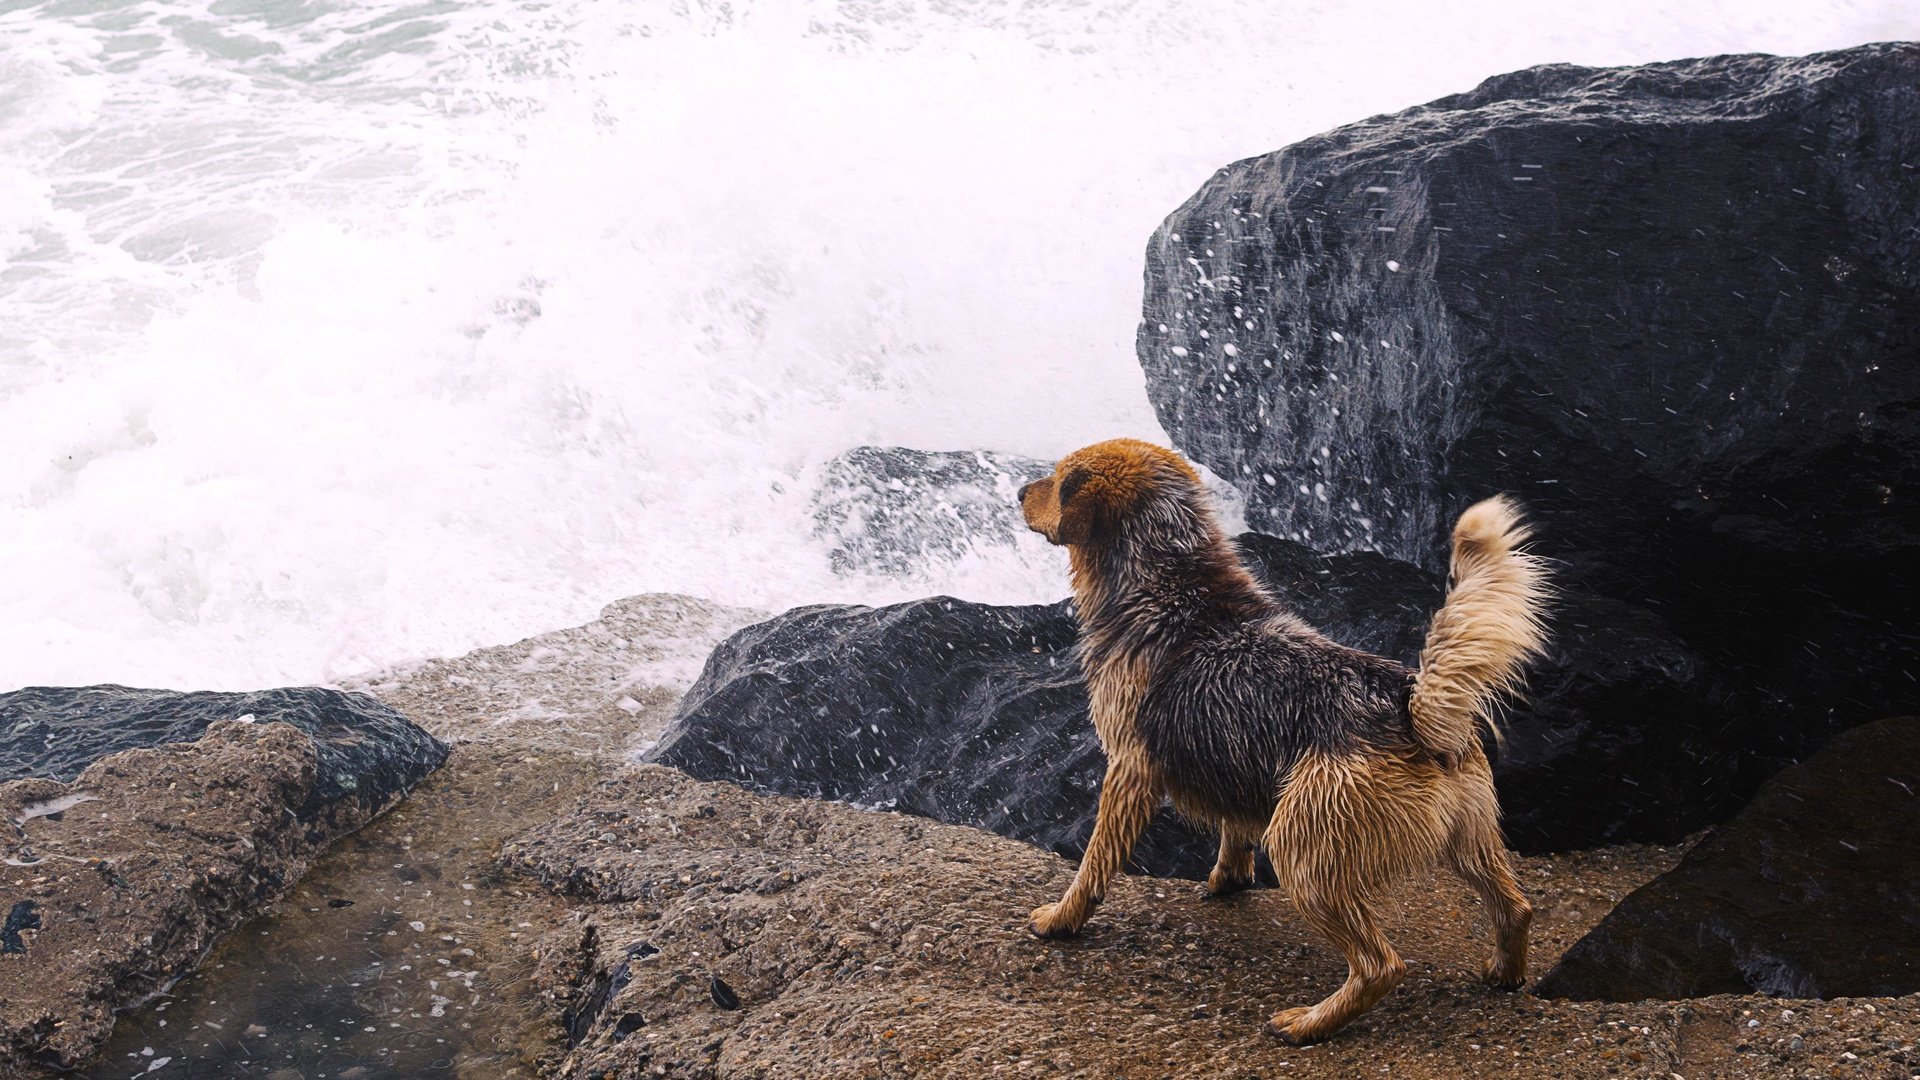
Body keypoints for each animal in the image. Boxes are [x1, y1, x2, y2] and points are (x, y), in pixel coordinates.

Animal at [1021, 438, 1543, 1045]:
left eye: (1058, 480)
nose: (1018, 492)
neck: (1167, 578)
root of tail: (1410, 707)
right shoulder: (1232, 759)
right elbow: (1233, 829)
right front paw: (1228, 879)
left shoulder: (1129, 769)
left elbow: (1095, 861)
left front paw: (1063, 919)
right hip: (1470, 836)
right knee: (1515, 907)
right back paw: (1505, 973)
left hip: (1303, 847)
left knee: (1381, 965)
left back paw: (1310, 1023)